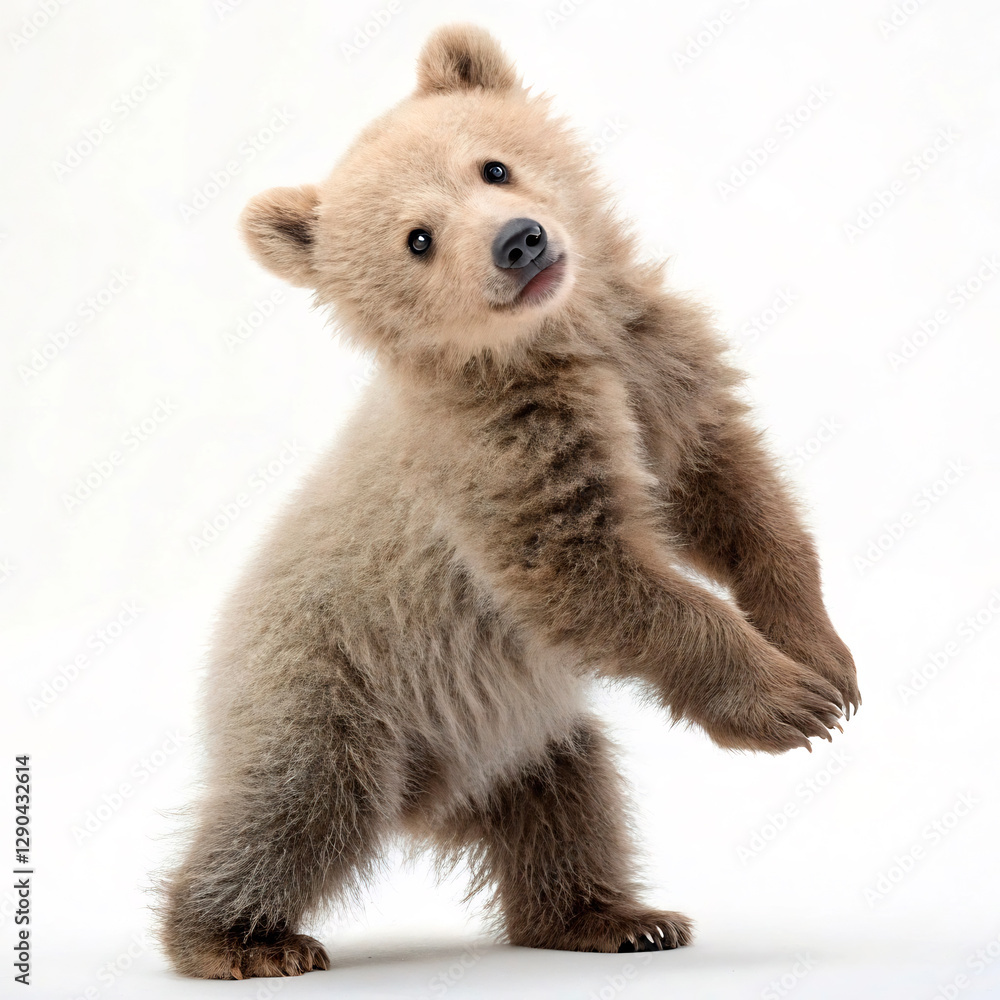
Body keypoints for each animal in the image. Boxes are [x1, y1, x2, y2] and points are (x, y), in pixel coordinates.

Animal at [155, 23, 859, 979]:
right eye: (418, 238)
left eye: (492, 165)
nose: (520, 241)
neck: (555, 344)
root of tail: (434, 798)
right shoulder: (503, 455)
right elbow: (590, 570)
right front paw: (788, 704)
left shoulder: (659, 372)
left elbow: (734, 492)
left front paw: (823, 658)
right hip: (333, 689)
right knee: (296, 807)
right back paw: (240, 938)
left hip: (520, 727)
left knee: (572, 801)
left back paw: (617, 916)